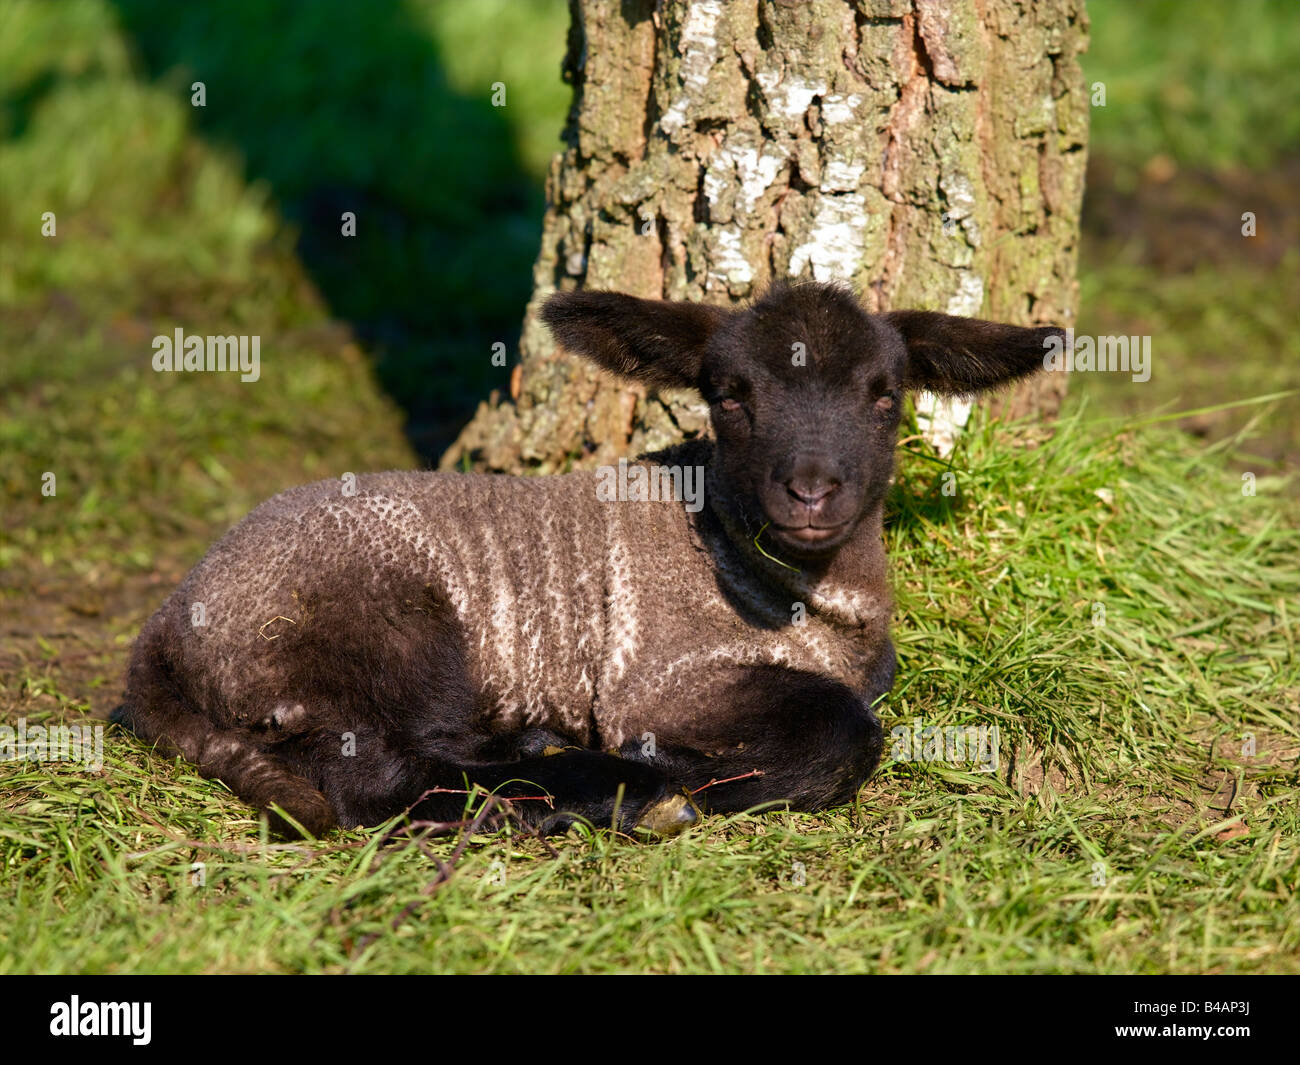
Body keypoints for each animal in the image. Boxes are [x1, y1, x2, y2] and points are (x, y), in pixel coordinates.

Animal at [111, 283, 1060, 842]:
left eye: (884, 395)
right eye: (730, 396)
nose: (811, 491)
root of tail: (161, 640)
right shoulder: (664, 673)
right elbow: (846, 733)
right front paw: (682, 777)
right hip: (379, 627)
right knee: (382, 780)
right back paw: (604, 786)